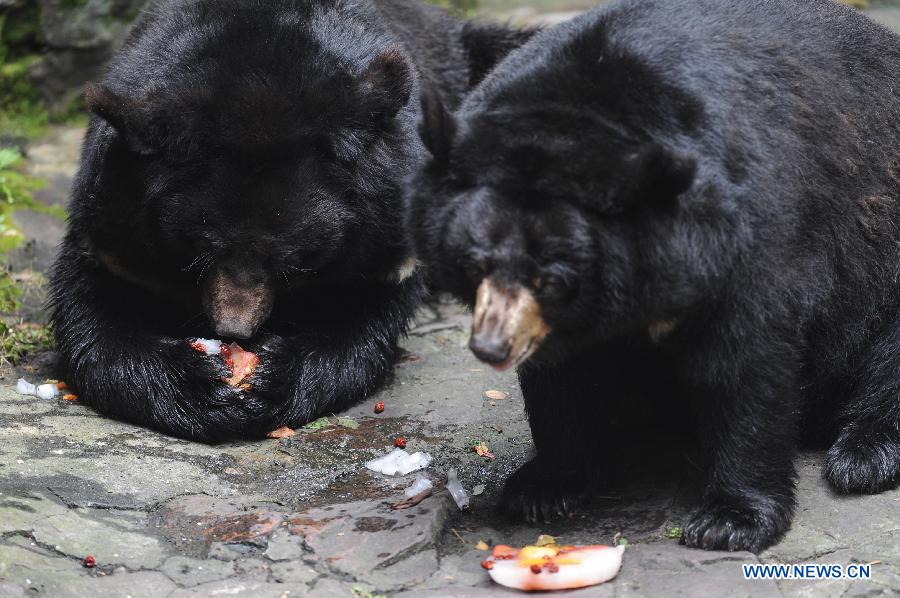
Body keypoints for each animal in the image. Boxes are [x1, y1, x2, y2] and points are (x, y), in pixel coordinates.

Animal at [47, 0, 528, 442]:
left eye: (295, 260)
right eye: (199, 249)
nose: (235, 329)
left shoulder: (385, 228)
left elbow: (364, 311)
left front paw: (271, 381)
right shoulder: (113, 216)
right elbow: (95, 309)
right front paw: (201, 388)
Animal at [412, 0, 900, 552]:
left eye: (553, 280)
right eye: (476, 263)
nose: (491, 348)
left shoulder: (748, 224)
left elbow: (747, 361)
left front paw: (730, 520)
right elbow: (561, 376)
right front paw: (543, 486)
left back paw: (864, 455)